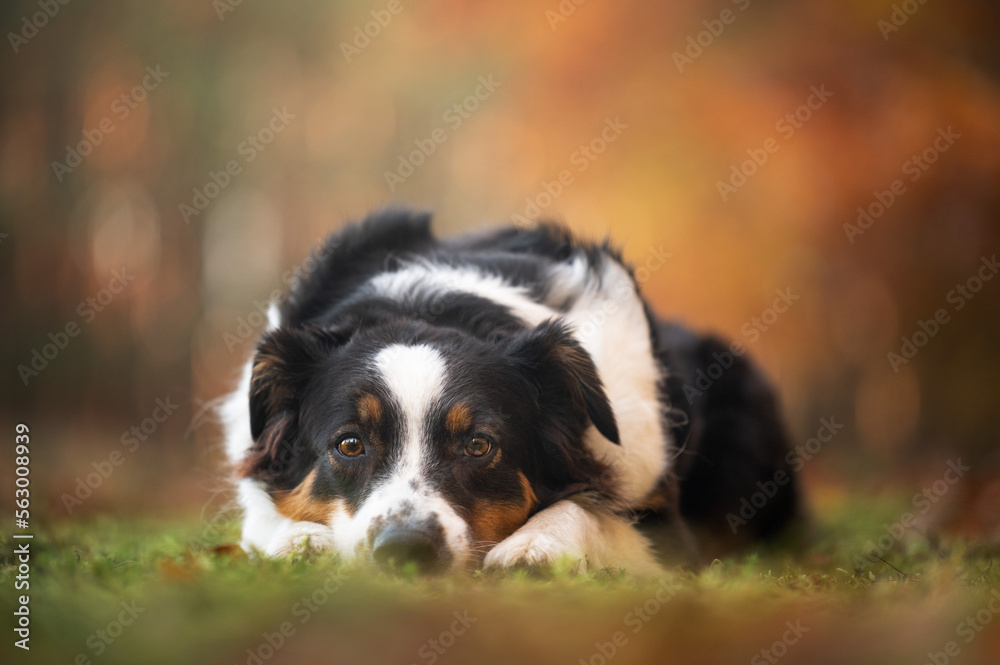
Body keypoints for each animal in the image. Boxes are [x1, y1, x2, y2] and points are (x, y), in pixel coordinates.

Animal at [223, 209, 800, 576]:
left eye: (479, 445)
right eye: (349, 444)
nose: (405, 550)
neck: (432, 307)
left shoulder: (667, 527)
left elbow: (587, 508)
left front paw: (535, 543)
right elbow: (266, 511)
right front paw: (300, 539)